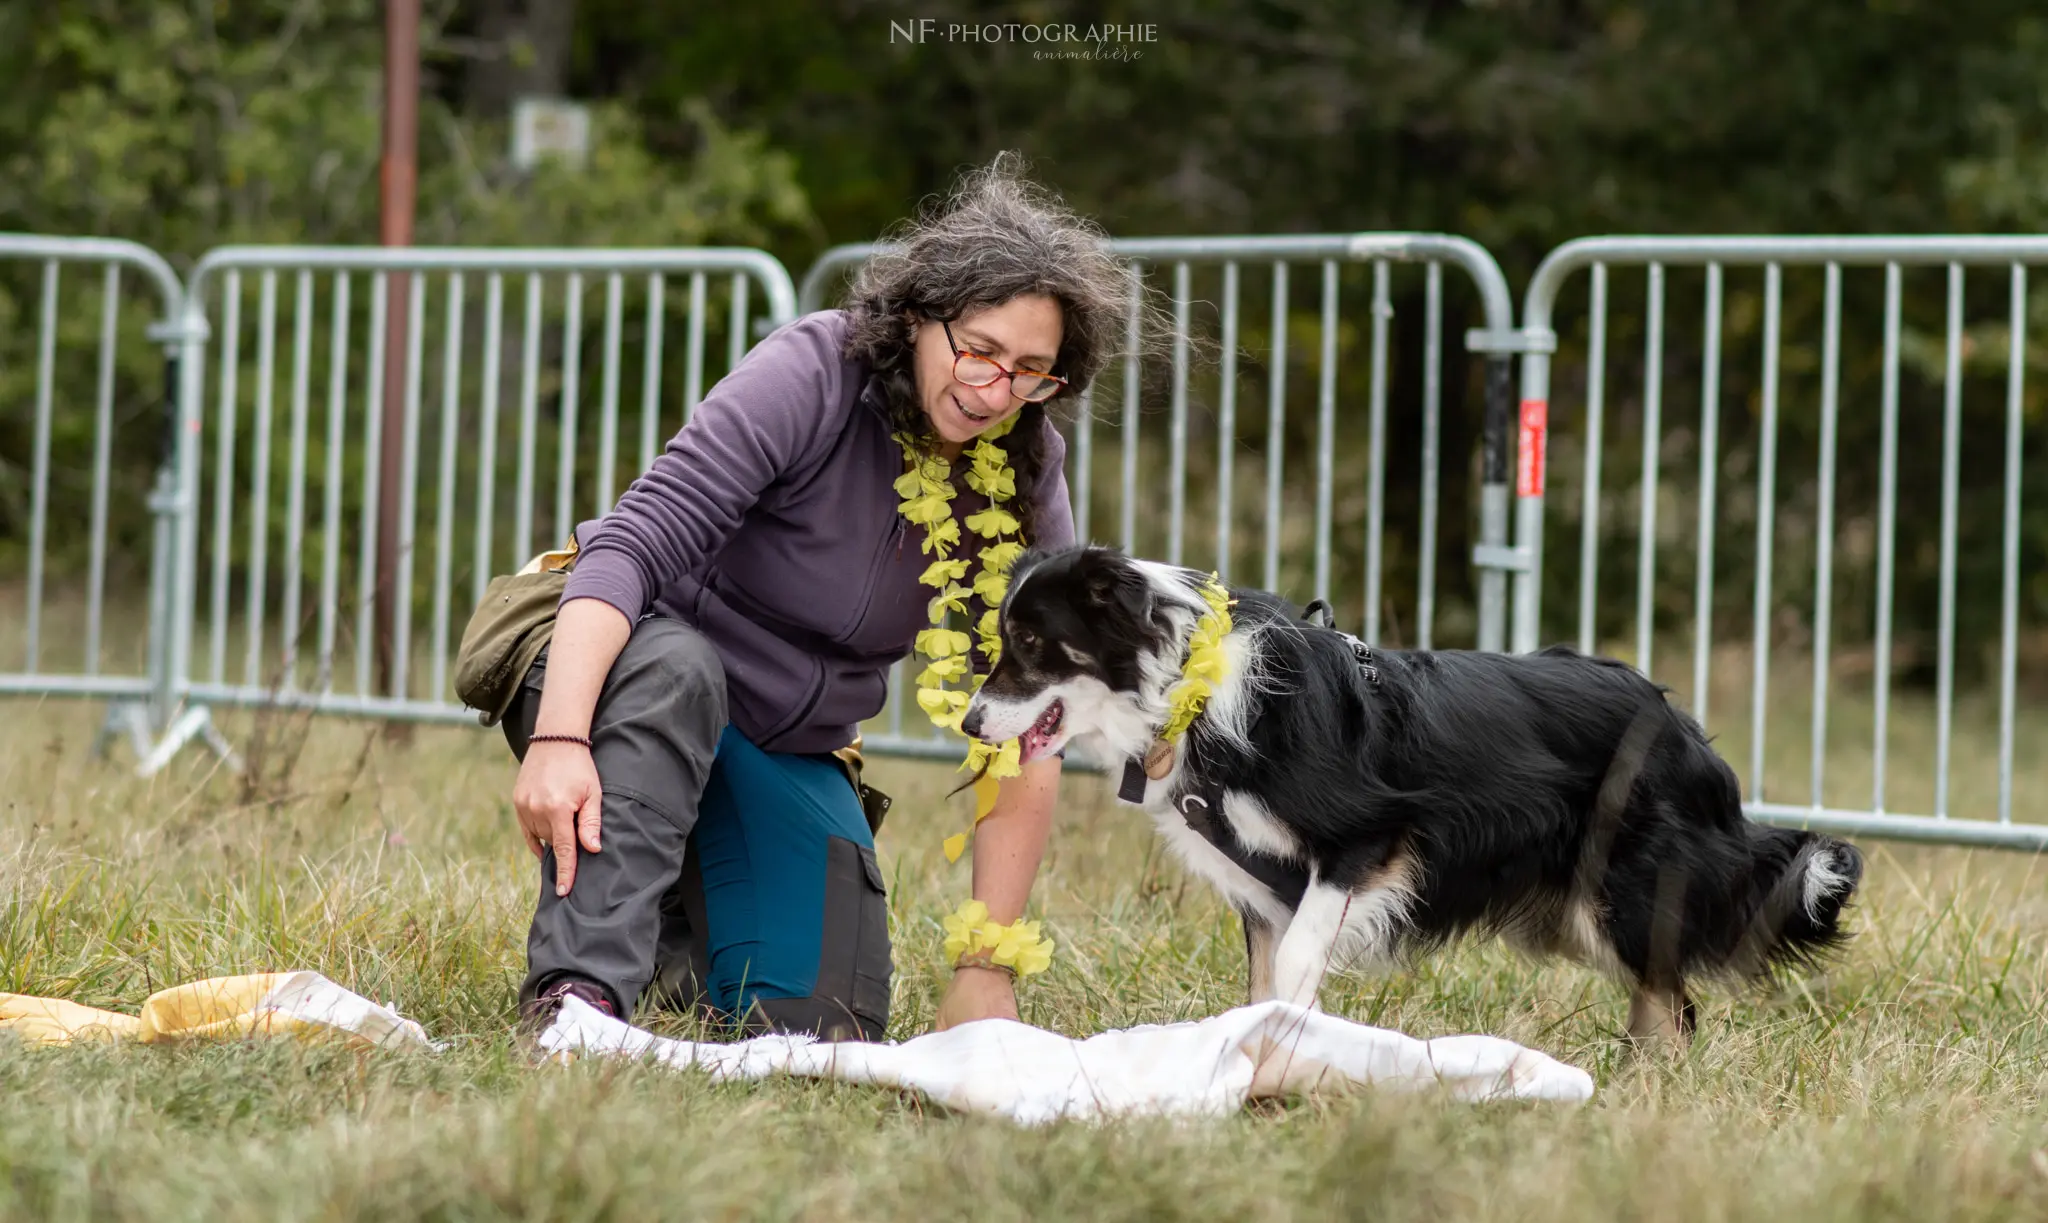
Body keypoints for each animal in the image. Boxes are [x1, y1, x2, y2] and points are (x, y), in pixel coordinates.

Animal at [958, 549, 1859, 1044]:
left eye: (1031, 642)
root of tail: (1683, 727)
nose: (968, 720)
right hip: (1576, 913)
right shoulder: (1263, 891)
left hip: (1627, 893)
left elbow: (1296, 959)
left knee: (1675, 1004)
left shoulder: (1367, 842)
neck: (1194, 687)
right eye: (1005, 639)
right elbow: (1265, 980)